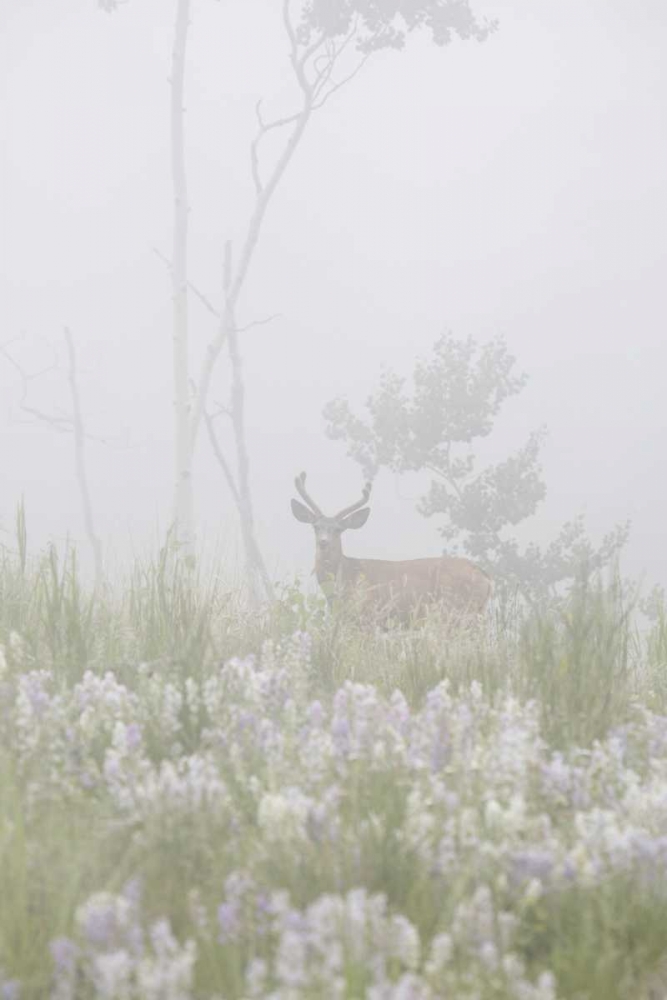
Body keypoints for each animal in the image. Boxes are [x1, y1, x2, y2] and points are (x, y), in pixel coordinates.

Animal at [290, 472, 494, 620]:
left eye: (339, 529)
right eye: (316, 527)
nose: (323, 542)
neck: (347, 574)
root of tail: (486, 576)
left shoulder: (367, 614)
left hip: (456, 609)